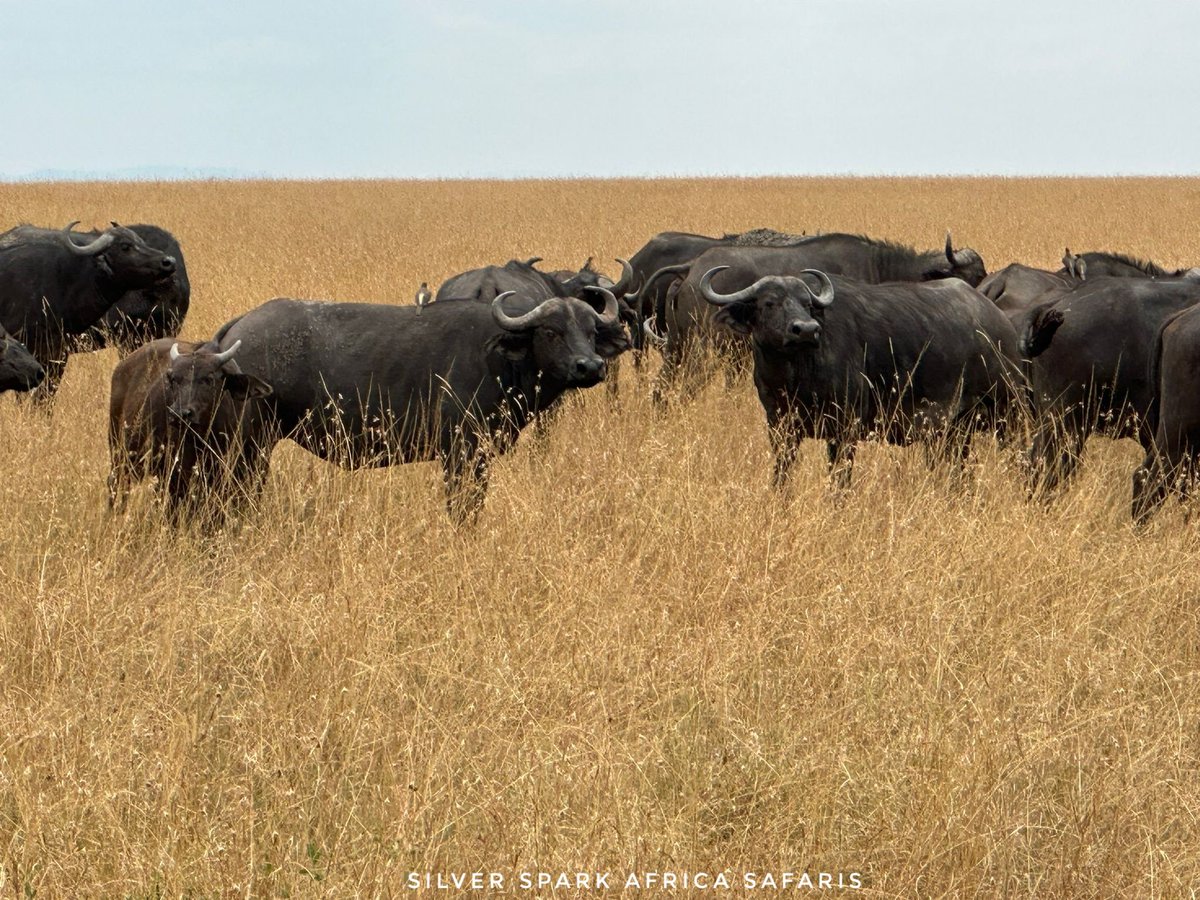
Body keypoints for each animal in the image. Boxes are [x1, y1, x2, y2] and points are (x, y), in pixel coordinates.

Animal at [210, 289, 630, 522]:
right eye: (551, 332)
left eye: (591, 331)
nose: (590, 366)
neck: (499, 361)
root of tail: (236, 333)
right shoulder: (462, 452)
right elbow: (464, 508)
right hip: (251, 445)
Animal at [700, 267, 1020, 489]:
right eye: (769, 303)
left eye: (807, 303)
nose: (806, 330)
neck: (796, 377)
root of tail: (999, 324)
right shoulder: (781, 428)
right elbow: (781, 475)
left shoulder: (845, 431)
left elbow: (839, 482)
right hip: (956, 431)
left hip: (1008, 415)